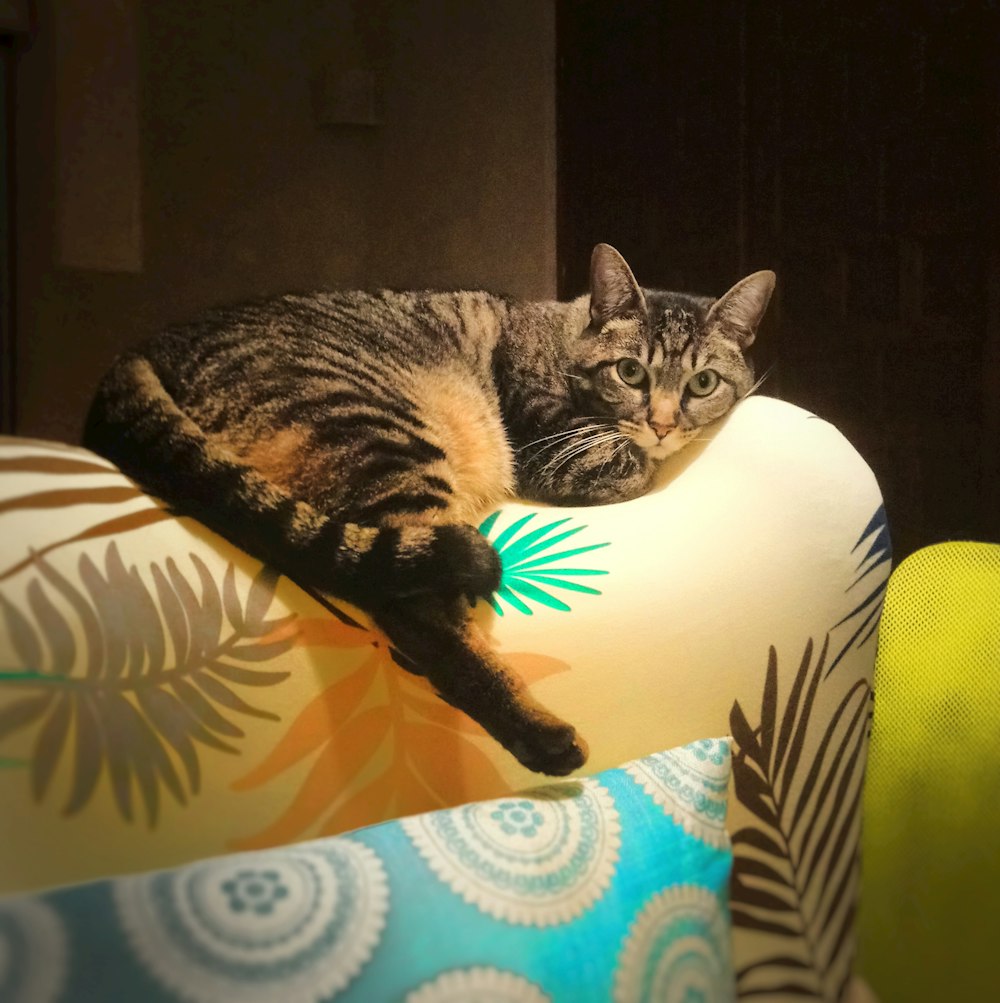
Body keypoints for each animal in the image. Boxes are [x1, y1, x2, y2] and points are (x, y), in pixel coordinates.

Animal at [83, 242, 774, 774]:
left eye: (703, 382)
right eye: (631, 372)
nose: (663, 423)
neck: (563, 334)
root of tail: (143, 349)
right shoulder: (558, 451)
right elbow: (626, 464)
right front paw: (642, 449)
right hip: (386, 438)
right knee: (417, 616)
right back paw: (543, 736)